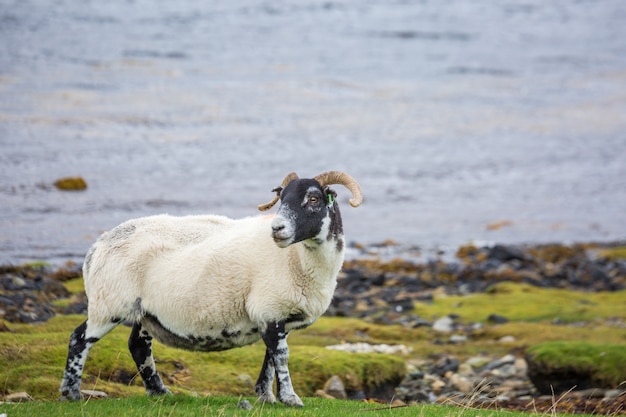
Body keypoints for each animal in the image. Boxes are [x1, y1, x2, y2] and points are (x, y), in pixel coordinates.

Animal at [59, 170, 360, 406]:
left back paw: (160, 392)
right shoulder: (270, 308)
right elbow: (281, 357)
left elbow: (271, 358)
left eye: (314, 199)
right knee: (79, 339)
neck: (299, 260)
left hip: (145, 312)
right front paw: (290, 398)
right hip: (109, 303)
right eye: (282, 198)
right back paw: (70, 393)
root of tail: (97, 247)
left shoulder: (274, 314)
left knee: (138, 346)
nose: (277, 229)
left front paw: (266, 396)